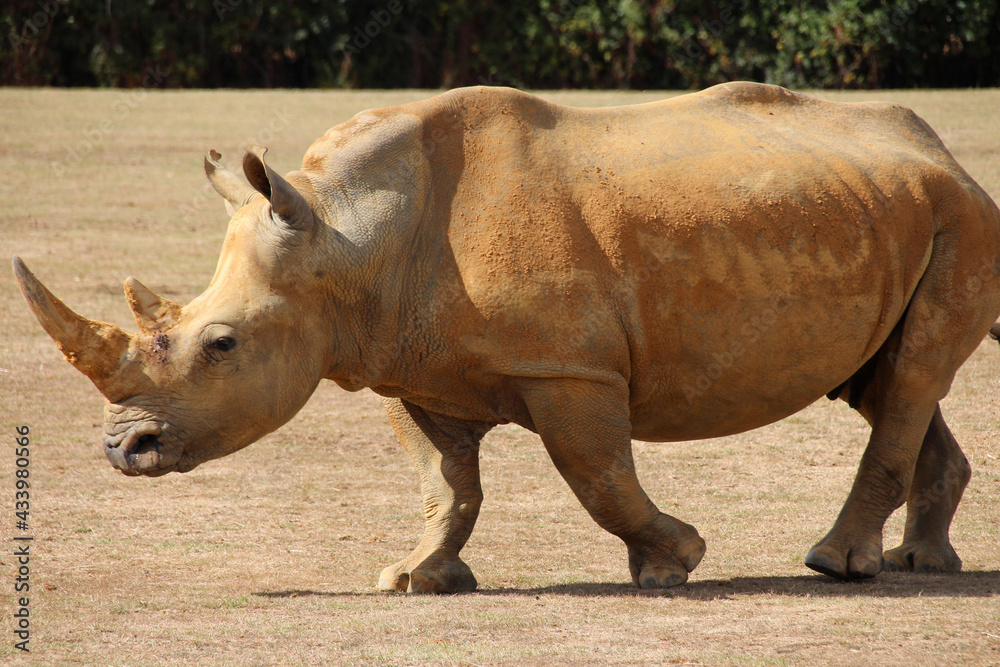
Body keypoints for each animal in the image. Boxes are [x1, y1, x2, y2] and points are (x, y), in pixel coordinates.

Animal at [13, 83, 1000, 592]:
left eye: (220, 345)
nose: (124, 449)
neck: (347, 239)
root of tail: (943, 151)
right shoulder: (406, 365)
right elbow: (445, 481)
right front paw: (415, 579)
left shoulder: (571, 369)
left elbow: (597, 474)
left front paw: (673, 563)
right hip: (887, 210)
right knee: (887, 377)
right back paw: (920, 561)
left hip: (961, 217)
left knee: (909, 376)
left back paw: (838, 565)